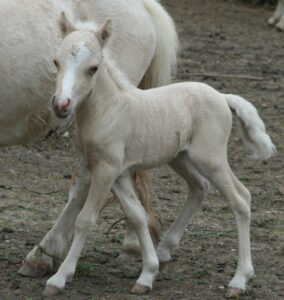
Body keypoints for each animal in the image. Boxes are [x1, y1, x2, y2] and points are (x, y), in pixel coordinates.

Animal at [45, 18, 276, 298]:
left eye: (93, 68)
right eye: (56, 61)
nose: (61, 104)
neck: (109, 110)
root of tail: (223, 97)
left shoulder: (106, 169)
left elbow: (85, 220)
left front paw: (59, 278)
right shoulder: (116, 172)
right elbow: (136, 214)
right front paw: (147, 274)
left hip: (210, 158)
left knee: (240, 199)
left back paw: (239, 280)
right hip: (180, 157)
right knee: (200, 187)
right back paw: (165, 251)